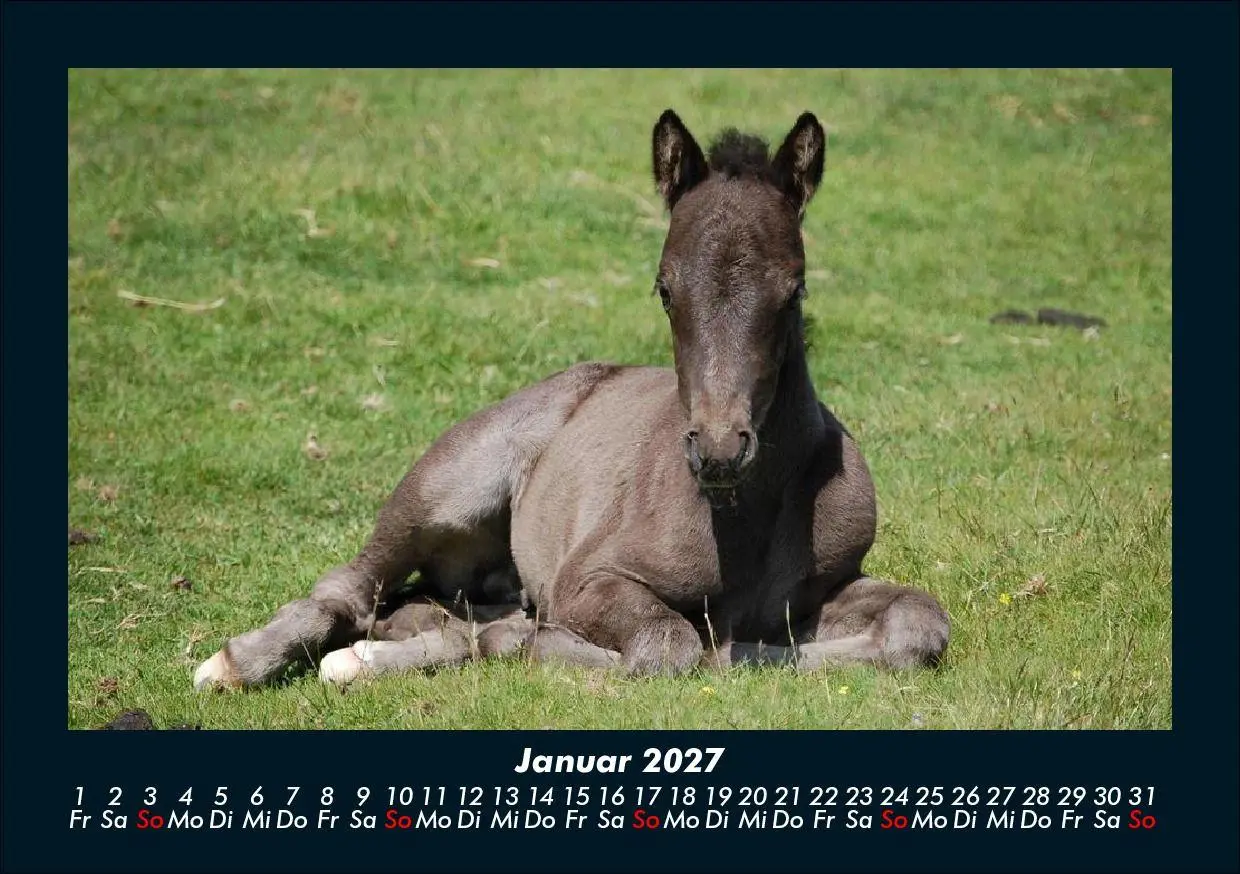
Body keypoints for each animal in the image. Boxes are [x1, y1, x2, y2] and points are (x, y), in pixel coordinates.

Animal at [194, 110, 950, 690]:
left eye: (793, 289)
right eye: (665, 288)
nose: (718, 450)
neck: (743, 518)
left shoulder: (824, 588)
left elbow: (918, 624)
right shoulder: (587, 581)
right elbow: (667, 645)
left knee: (429, 609)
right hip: (449, 485)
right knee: (352, 586)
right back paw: (238, 664)